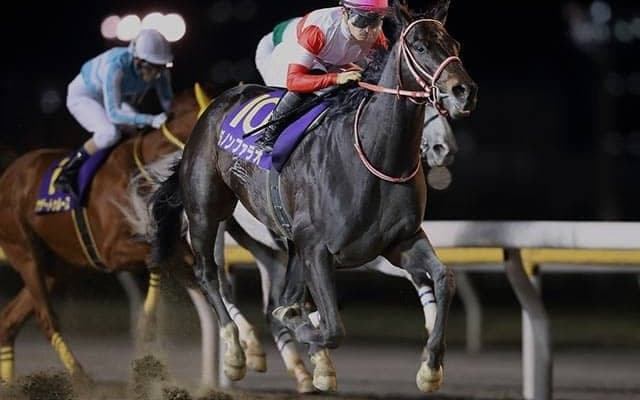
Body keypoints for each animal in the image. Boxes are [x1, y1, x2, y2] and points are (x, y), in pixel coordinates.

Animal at [0, 83, 215, 385]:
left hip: (56, 267)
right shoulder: (111, 252)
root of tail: (8, 174)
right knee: (46, 317)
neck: (142, 172)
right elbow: (158, 257)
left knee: (9, 320)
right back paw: (81, 380)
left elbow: (168, 257)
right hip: (24, 251)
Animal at [149, 1, 477, 393]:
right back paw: (237, 352)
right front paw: (302, 329)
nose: (463, 91)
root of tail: (214, 105)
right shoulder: (317, 248)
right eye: (420, 46)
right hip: (207, 213)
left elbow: (444, 279)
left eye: (455, 44)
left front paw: (430, 367)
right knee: (210, 276)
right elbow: (330, 326)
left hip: (277, 242)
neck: (374, 157)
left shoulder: (400, 241)